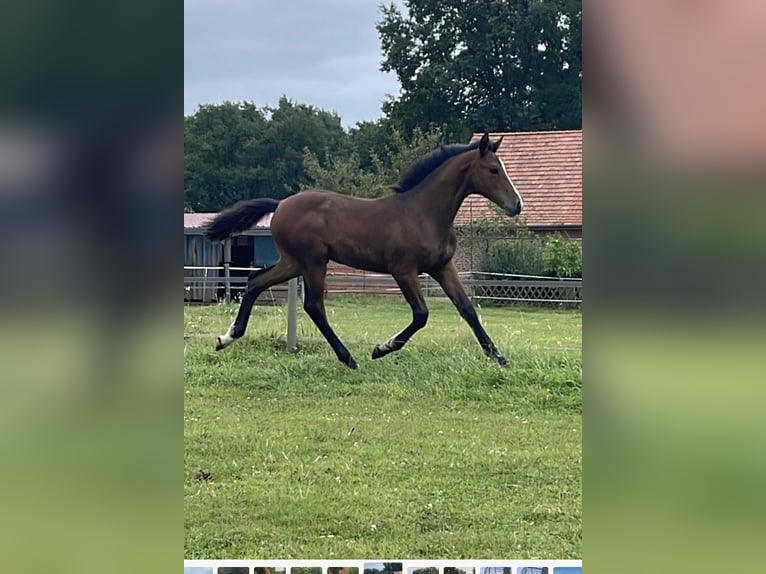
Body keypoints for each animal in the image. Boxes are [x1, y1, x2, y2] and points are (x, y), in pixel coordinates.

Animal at [206, 132, 520, 368]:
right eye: (494, 170)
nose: (517, 205)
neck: (423, 213)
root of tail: (281, 204)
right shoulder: (403, 270)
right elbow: (421, 314)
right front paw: (381, 348)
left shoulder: (442, 267)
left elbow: (467, 309)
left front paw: (499, 358)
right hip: (313, 263)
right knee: (314, 305)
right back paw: (348, 358)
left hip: (294, 262)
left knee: (255, 281)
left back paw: (226, 337)